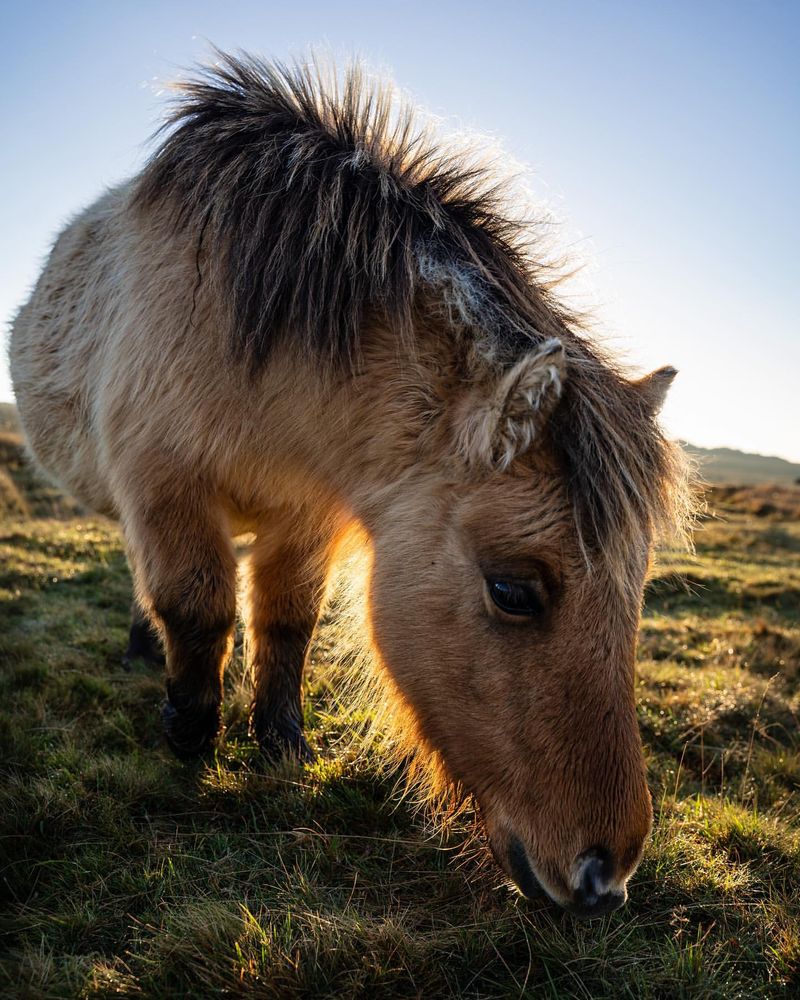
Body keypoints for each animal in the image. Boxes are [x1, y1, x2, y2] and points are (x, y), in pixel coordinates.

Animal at [6, 50, 692, 916]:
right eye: (513, 591)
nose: (606, 878)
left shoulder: (307, 515)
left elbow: (286, 621)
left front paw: (280, 742)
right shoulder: (165, 487)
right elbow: (198, 609)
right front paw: (191, 731)